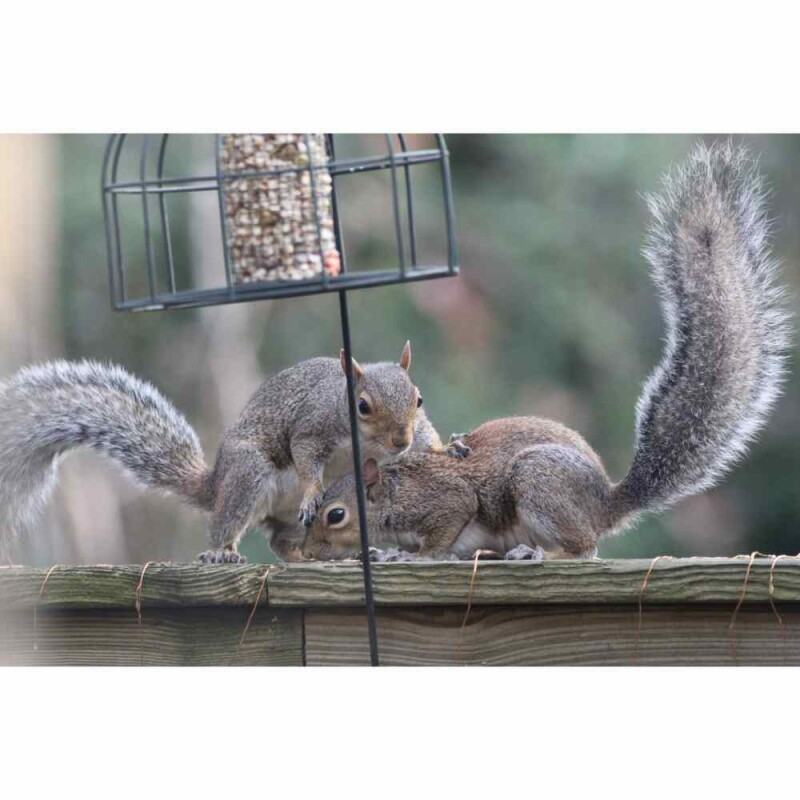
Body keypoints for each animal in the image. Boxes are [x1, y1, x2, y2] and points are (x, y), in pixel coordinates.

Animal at [0, 341, 466, 564]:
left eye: (419, 399)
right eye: (363, 406)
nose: (399, 442)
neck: (368, 443)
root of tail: (215, 482)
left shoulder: (415, 435)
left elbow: (429, 442)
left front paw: (453, 446)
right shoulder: (313, 426)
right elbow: (304, 456)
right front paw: (313, 491)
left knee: (281, 542)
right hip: (249, 475)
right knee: (232, 524)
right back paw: (221, 551)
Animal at [301, 142, 792, 562]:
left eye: (336, 515)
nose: (305, 551)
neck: (392, 491)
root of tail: (604, 504)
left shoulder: (446, 501)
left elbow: (444, 531)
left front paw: (411, 554)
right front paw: (386, 553)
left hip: (538, 483)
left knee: (583, 548)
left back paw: (537, 552)